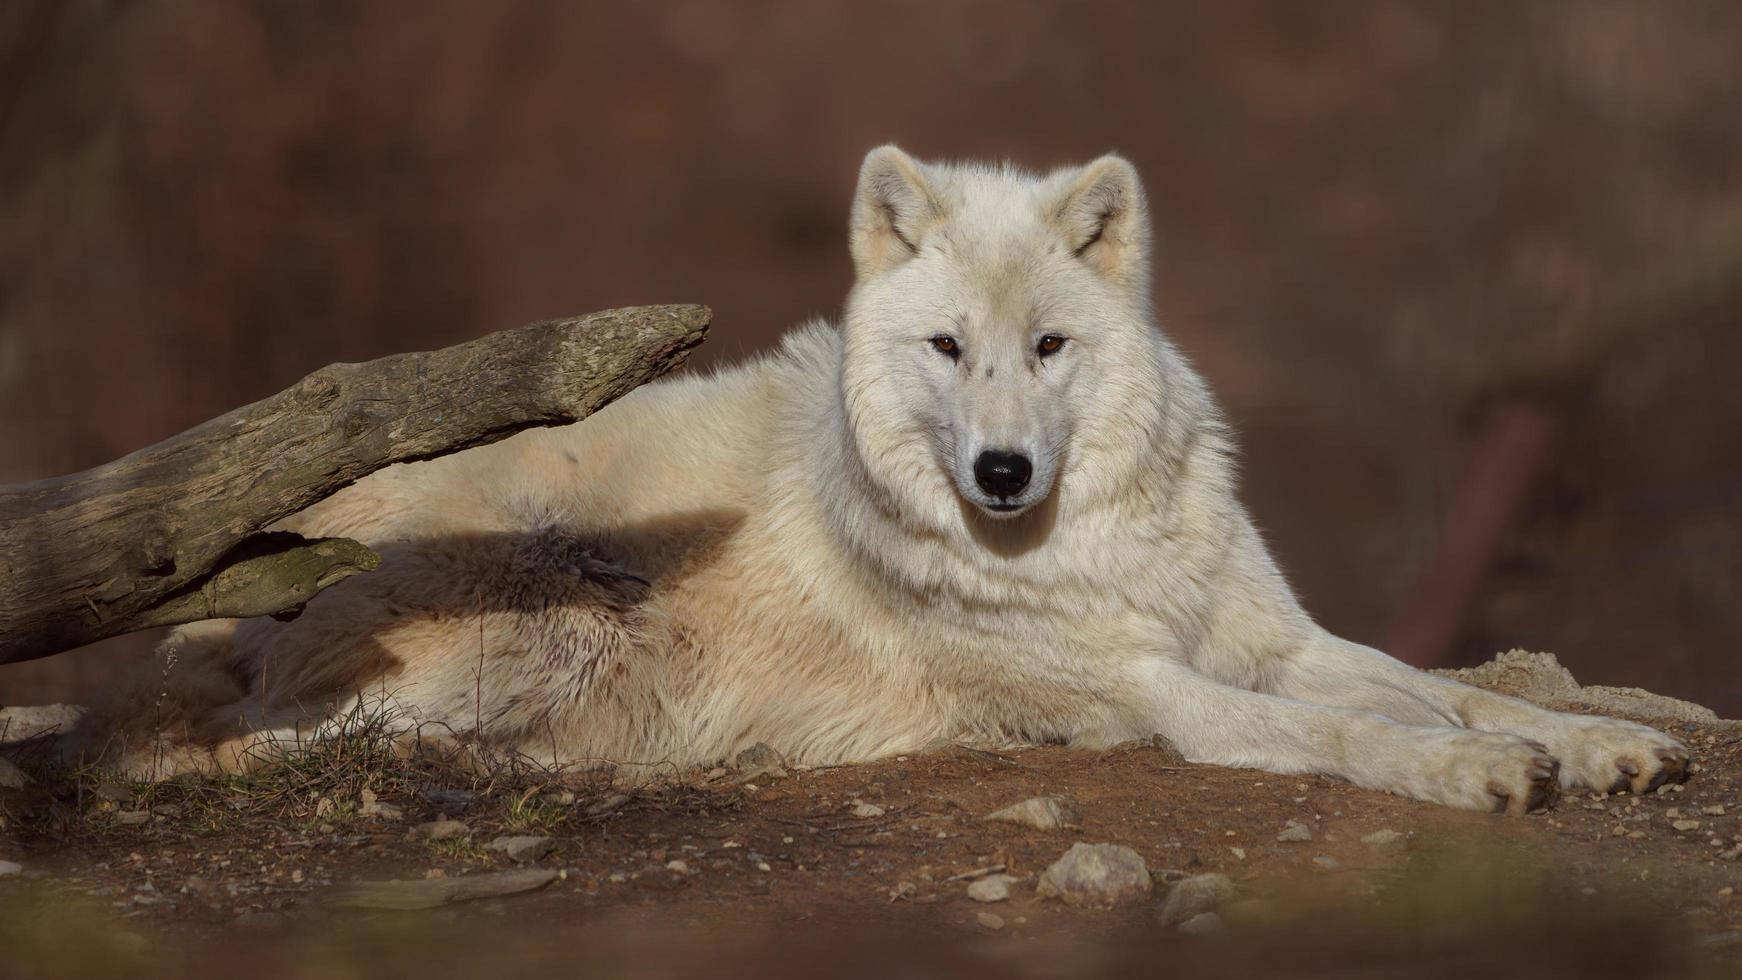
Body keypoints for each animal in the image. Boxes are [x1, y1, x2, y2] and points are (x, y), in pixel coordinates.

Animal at [23, 145, 1686, 814]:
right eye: (947, 347)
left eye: (1049, 345)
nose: (1002, 471)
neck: (1077, 554)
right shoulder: (1150, 690)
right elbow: (1349, 732)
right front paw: (1478, 776)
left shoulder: (1267, 636)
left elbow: (1427, 686)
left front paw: (1587, 741)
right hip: (548, 620)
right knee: (253, 746)